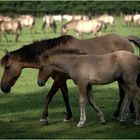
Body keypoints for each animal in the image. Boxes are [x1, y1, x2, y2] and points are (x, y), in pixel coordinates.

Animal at [0, 33, 140, 124]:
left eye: (7, 67)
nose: (3, 88)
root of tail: (125, 38)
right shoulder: (62, 80)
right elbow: (66, 97)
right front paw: (68, 116)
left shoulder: (59, 79)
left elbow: (49, 96)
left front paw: (44, 118)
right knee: (128, 92)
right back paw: (129, 113)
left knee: (125, 93)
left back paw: (122, 114)